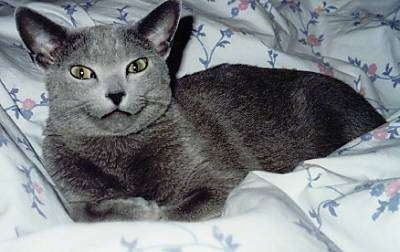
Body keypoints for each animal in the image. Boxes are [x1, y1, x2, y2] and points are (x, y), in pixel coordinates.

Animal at [14, 0, 384, 220]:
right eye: (80, 72)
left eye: (137, 65)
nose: (116, 94)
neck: (119, 152)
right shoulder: (69, 192)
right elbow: (84, 213)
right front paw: (127, 205)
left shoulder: (221, 178)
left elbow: (171, 214)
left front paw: (143, 208)